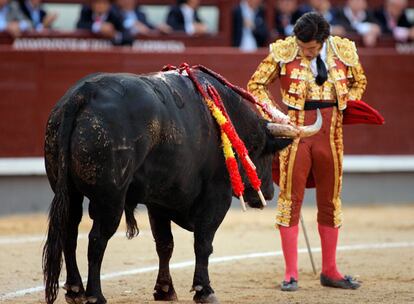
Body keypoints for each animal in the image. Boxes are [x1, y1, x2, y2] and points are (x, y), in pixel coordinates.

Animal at [42, 66, 320, 304]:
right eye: (264, 151)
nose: (269, 193)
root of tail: (82, 95)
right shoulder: (216, 197)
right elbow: (203, 243)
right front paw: (204, 290)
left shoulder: (158, 201)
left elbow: (165, 244)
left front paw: (164, 290)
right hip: (111, 198)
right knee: (97, 239)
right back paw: (95, 295)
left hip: (68, 192)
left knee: (69, 232)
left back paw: (75, 290)